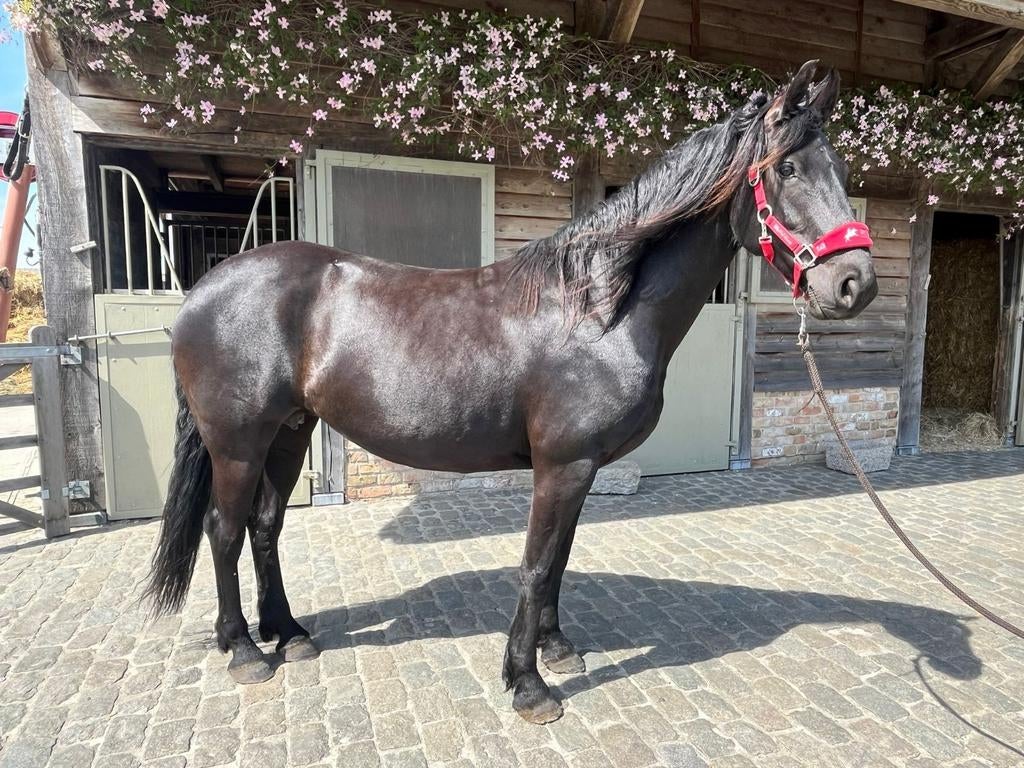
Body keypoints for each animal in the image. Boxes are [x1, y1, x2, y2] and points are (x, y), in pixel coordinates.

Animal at [145, 60, 878, 724]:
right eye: (788, 169)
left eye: (843, 172)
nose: (855, 284)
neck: (598, 309)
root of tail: (204, 290)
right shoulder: (563, 465)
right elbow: (536, 564)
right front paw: (529, 685)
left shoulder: (580, 469)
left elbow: (559, 562)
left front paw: (556, 650)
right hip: (237, 442)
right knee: (224, 530)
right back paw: (244, 650)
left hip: (288, 431)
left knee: (265, 526)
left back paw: (289, 633)